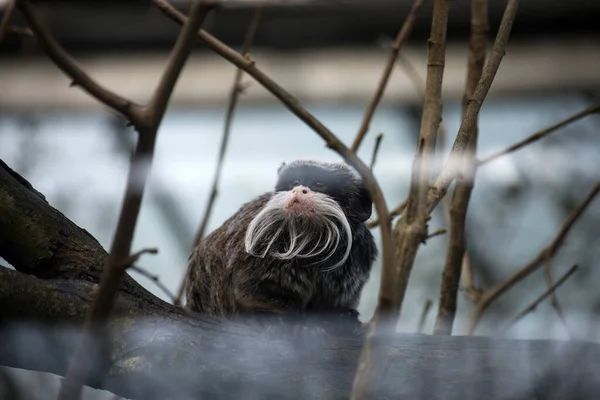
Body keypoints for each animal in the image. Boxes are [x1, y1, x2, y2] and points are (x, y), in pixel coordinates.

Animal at [185, 159, 378, 318]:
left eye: (319, 184)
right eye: (295, 182)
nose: (299, 190)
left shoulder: (360, 254)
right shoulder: (262, 240)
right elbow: (247, 289)